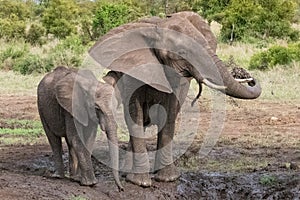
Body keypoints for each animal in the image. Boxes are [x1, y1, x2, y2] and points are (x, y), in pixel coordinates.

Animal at [88, 11, 260, 187]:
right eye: (182, 53)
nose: (249, 78)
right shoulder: (133, 71)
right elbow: (135, 115)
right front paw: (141, 183)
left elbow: (169, 115)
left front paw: (167, 179)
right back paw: (128, 172)